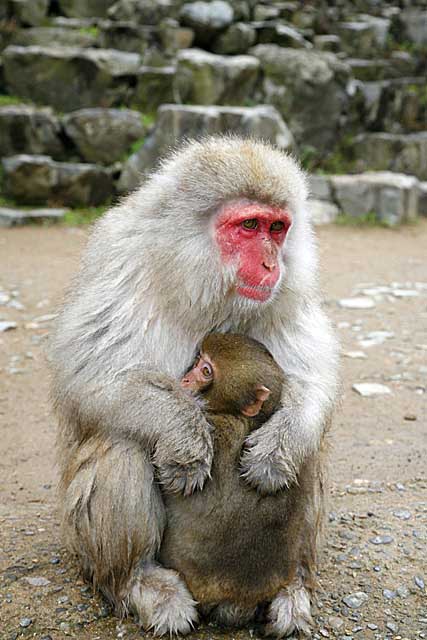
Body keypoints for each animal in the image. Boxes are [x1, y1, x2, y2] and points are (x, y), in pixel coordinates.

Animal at [160, 336, 324, 636]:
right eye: (198, 359)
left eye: (206, 371)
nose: (186, 379)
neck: (246, 419)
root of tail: (239, 600)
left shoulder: (216, 427)